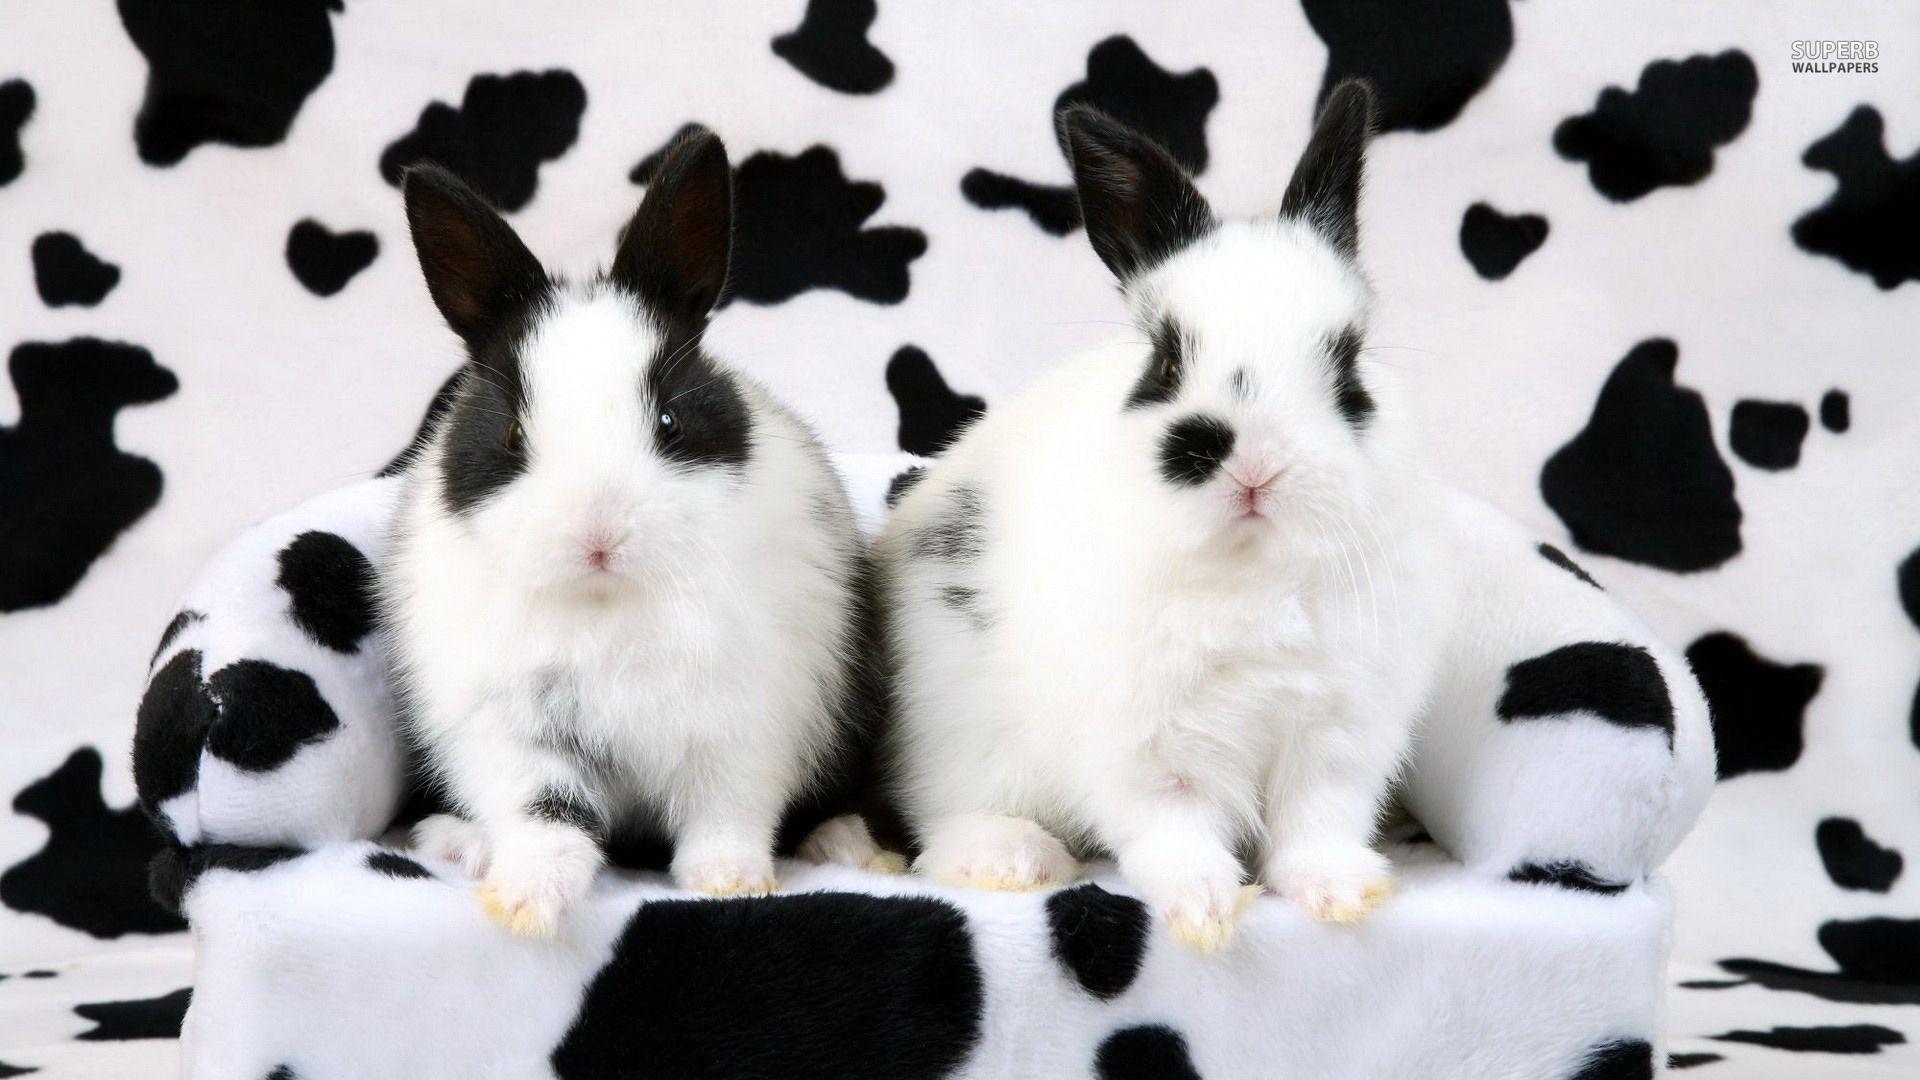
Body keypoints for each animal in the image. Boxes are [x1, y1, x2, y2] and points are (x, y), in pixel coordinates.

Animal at [378, 127, 893, 938]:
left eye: (671, 422)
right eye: (513, 435)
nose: (599, 535)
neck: (608, 601)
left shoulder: (742, 727)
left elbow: (725, 815)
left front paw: (731, 883)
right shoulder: (517, 733)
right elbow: (544, 817)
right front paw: (522, 904)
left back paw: (845, 843)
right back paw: (457, 842)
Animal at [876, 83, 1453, 949]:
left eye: (1348, 365)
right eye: (1166, 361)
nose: (1253, 462)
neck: (1251, 575)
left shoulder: (1337, 735)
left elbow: (1316, 822)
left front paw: (1341, 893)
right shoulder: (1149, 747)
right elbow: (1172, 827)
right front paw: (1205, 908)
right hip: (959, 734)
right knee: (942, 823)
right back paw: (1013, 859)